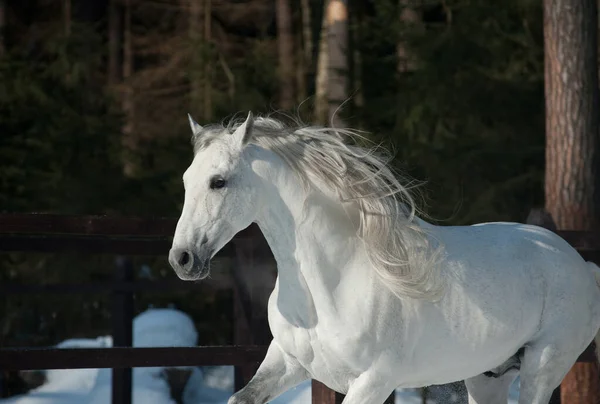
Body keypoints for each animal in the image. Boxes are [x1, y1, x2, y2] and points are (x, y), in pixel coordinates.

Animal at [168, 112, 600, 404]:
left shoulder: (374, 382)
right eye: (186, 180)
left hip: (543, 366)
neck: (332, 284)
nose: (182, 259)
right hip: (487, 376)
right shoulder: (289, 364)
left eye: (219, 181)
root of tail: (581, 264)